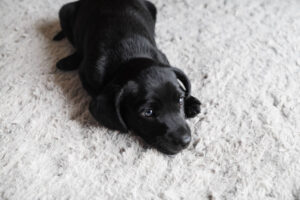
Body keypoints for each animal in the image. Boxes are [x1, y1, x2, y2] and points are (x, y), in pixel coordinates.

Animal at [52, 0, 200, 155]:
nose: (186, 141)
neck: (129, 57)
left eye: (180, 99)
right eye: (148, 112)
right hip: (65, 12)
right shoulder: (88, 75)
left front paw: (191, 101)